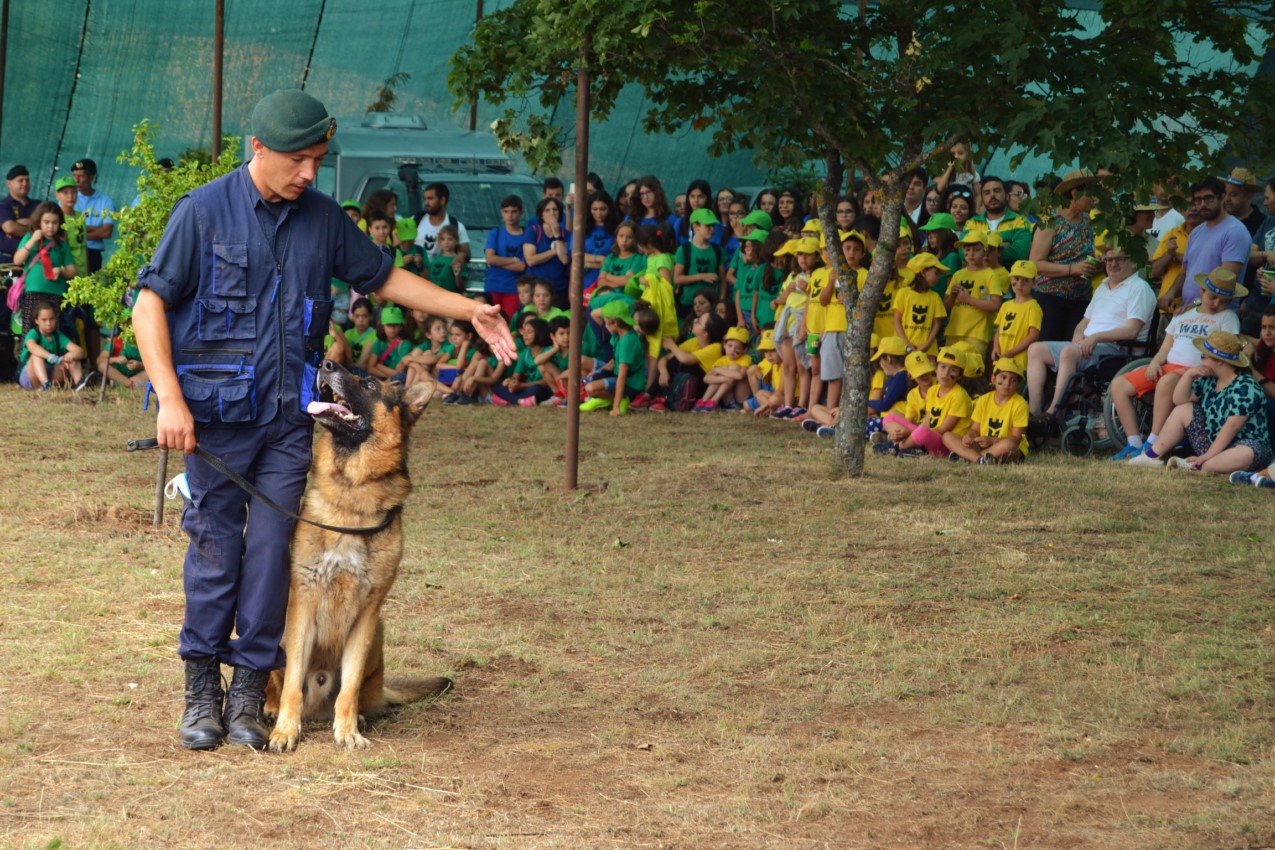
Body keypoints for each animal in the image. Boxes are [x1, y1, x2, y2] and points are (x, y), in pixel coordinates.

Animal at [263, 359, 453, 749]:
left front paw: (348, 729)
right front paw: (286, 729)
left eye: (369, 385)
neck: (352, 494)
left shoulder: (368, 614)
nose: (326, 363)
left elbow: (348, 688)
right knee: (276, 682)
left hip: (378, 634)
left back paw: (362, 715)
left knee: (362, 691)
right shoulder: (302, 605)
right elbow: (292, 684)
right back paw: (273, 709)